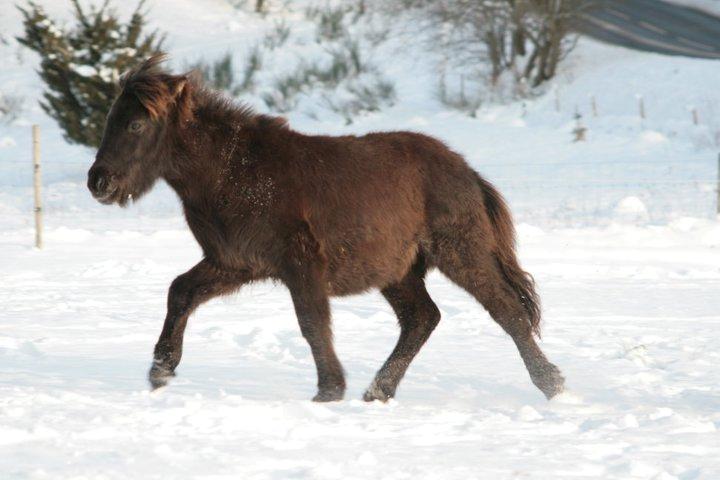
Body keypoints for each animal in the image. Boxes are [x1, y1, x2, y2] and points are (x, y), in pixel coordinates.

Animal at [87, 55, 564, 402]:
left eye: (136, 123)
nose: (98, 182)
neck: (232, 172)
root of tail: (468, 173)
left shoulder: (299, 263)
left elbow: (313, 323)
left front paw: (329, 391)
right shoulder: (235, 262)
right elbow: (180, 291)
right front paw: (161, 370)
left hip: (460, 253)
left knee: (507, 311)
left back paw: (552, 384)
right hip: (398, 272)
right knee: (422, 318)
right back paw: (378, 391)